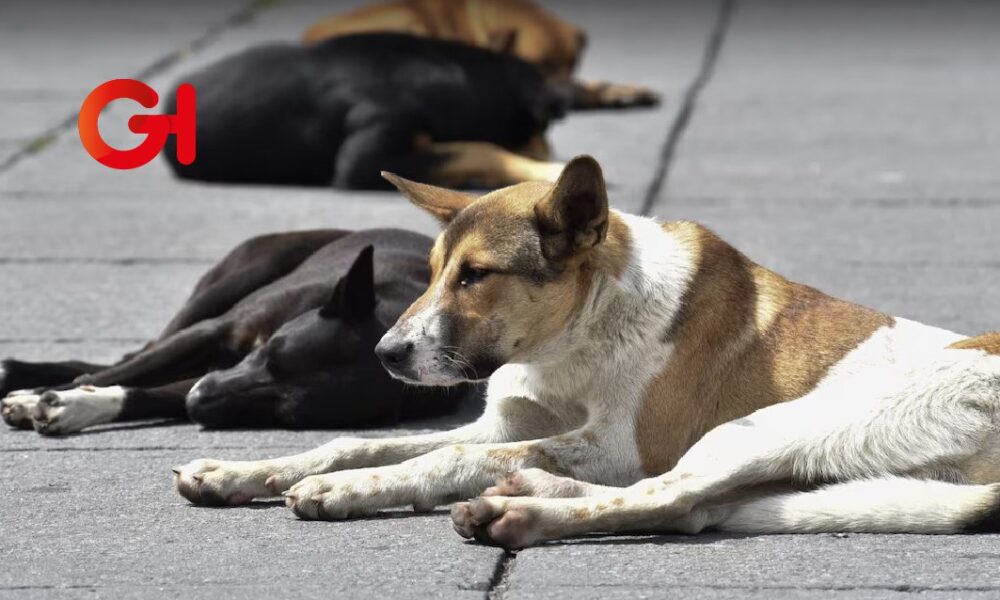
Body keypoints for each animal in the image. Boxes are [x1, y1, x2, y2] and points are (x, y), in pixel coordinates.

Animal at [0, 227, 460, 434]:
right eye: (270, 354)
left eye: (286, 416)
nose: (199, 399)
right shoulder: (212, 333)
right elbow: (123, 373)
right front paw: (43, 396)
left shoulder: (210, 381)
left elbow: (146, 394)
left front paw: (77, 404)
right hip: (230, 284)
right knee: (135, 354)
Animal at [172, 156, 1000, 548]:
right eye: (433, 269)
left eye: (476, 276)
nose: (386, 353)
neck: (578, 335)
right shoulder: (504, 423)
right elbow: (354, 442)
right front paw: (243, 472)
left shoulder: (621, 446)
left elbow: (440, 457)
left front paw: (346, 492)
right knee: (697, 508)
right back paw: (526, 496)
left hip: (778, 426)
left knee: (671, 498)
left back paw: (520, 514)